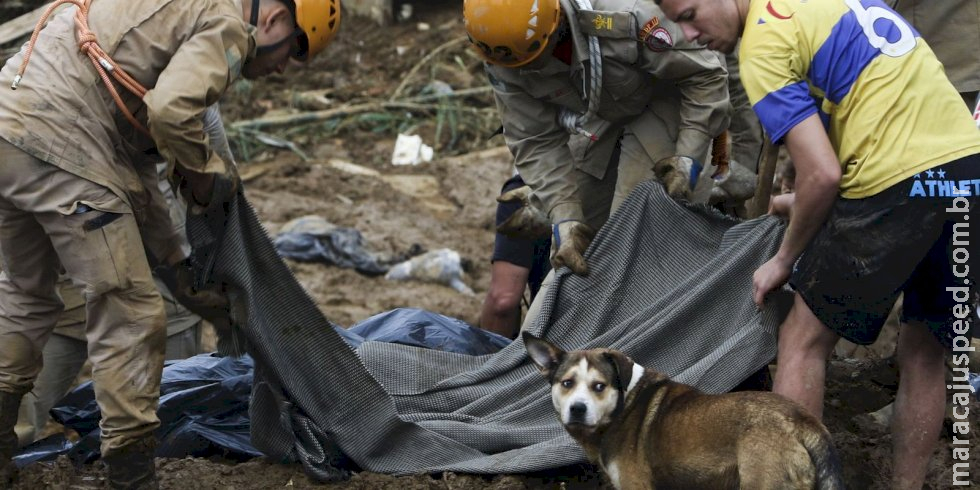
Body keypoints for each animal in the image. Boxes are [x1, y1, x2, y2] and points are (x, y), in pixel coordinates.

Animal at [524, 334, 848, 490]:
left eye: (599, 386)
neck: (622, 405)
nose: (577, 409)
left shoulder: (636, 486)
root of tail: (802, 420)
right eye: (567, 383)